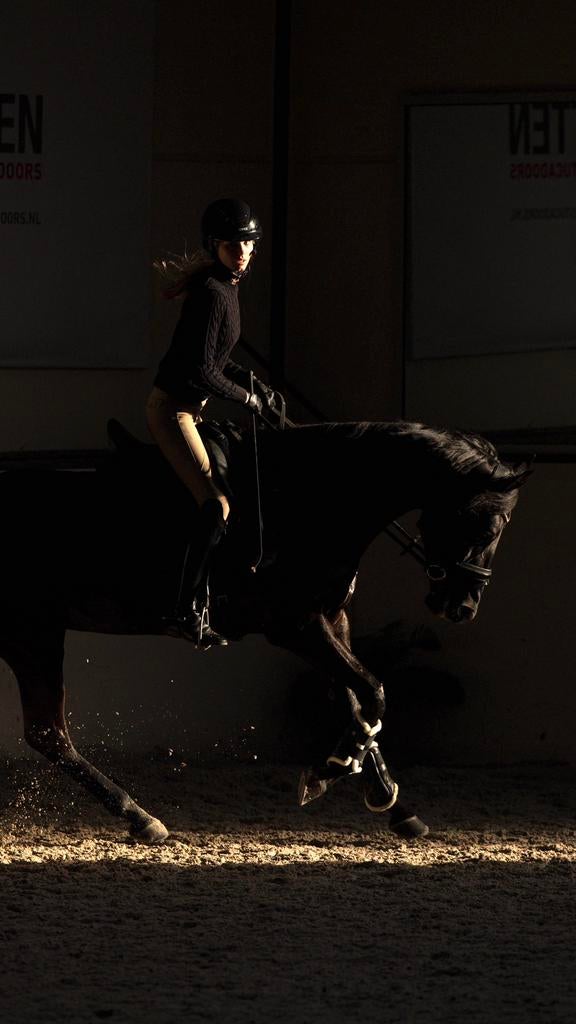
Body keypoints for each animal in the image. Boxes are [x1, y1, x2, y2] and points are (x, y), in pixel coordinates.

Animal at [0, 418, 531, 843]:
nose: (463, 608)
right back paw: (143, 819)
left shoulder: (332, 621)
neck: (309, 502)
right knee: (50, 733)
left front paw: (389, 801)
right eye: (492, 526)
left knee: (49, 734)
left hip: (30, 634)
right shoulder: (296, 625)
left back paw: (140, 818)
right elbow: (373, 692)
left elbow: (359, 703)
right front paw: (330, 770)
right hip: (31, 634)